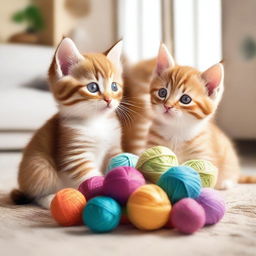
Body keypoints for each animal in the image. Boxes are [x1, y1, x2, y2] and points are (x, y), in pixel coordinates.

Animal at [11, 37, 123, 208]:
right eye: (92, 87)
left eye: (114, 86)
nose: (109, 100)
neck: (97, 121)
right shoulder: (75, 154)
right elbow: (90, 175)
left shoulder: (113, 147)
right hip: (38, 165)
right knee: (36, 193)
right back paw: (51, 199)